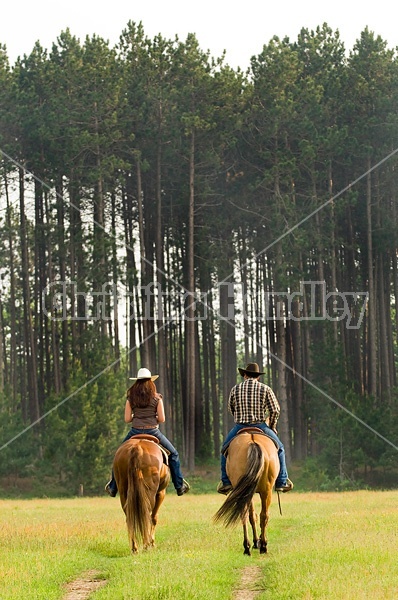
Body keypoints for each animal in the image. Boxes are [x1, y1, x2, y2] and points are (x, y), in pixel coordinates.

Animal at [213, 428, 278, 556]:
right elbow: (254, 516)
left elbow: (252, 516)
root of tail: (253, 442)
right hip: (265, 491)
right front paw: (257, 542)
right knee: (262, 515)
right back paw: (262, 545)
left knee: (248, 515)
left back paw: (248, 546)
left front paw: (256, 541)